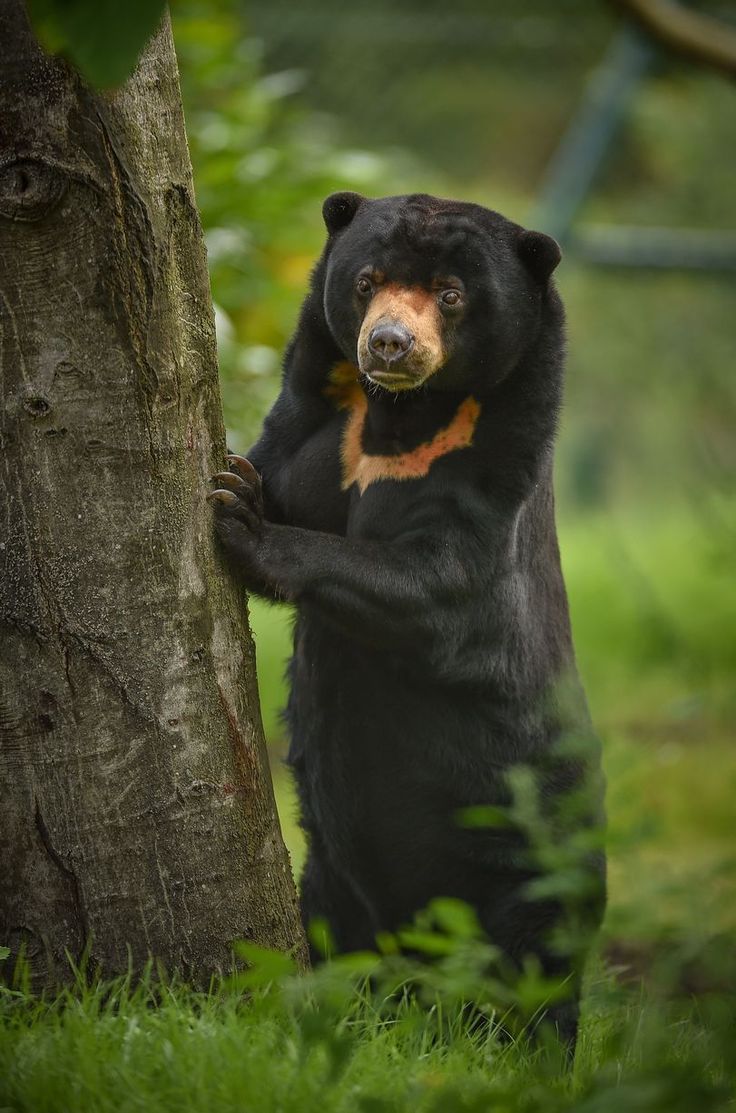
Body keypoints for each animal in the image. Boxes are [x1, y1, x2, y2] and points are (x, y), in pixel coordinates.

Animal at [208, 192, 606, 1049]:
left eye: (451, 295)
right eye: (367, 280)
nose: (389, 343)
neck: (400, 415)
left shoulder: (491, 466)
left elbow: (434, 589)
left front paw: (240, 519)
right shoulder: (316, 418)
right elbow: (282, 467)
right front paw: (236, 477)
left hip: (533, 857)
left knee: (536, 976)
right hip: (332, 876)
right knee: (341, 938)